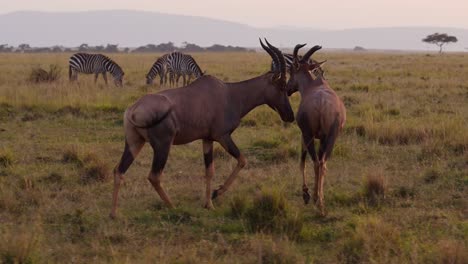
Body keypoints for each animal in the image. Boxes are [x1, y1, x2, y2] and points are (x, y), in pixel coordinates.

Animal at [110, 38, 294, 218]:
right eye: (282, 86)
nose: (290, 116)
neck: (229, 93)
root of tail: (132, 110)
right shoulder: (222, 136)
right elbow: (242, 160)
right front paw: (216, 193)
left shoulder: (207, 139)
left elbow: (209, 170)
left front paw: (209, 204)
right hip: (163, 145)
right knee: (154, 176)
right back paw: (172, 207)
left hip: (134, 142)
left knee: (119, 170)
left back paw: (114, 213)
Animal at [286, 44, 348, 216]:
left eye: (291, 70)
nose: (287, 89)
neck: (315, 85)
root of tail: (321, 103)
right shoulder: (322, 138)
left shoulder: (304, 134)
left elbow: (302, 161)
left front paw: (306, 194)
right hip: (331, 137)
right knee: (322, 163)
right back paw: (321, 202)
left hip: (309, 135)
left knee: (315, 162)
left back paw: (315, 199)